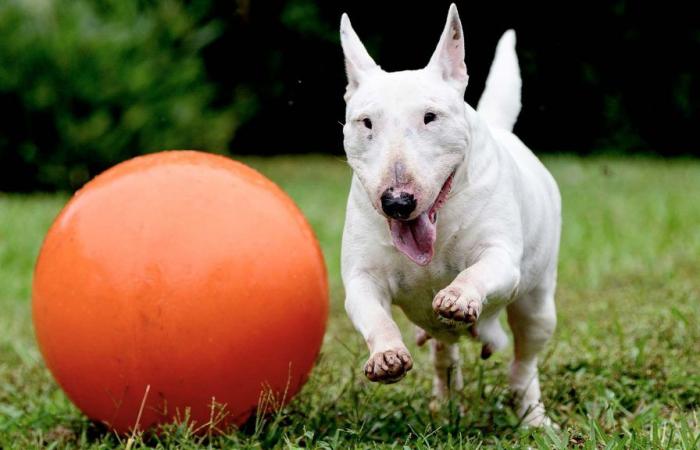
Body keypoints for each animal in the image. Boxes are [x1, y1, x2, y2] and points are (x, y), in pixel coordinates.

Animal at [340, 4, 564, 426]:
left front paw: (458, 297)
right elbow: (372, 311)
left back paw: (532, 416)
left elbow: (481, 270)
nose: (397, 202)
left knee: (524, 360)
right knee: (446, 353)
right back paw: (445, 404)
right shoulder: (362, 276)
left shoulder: (500, 256)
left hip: (538, 305)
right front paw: (387, 357)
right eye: (366, 122)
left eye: (430, 117)